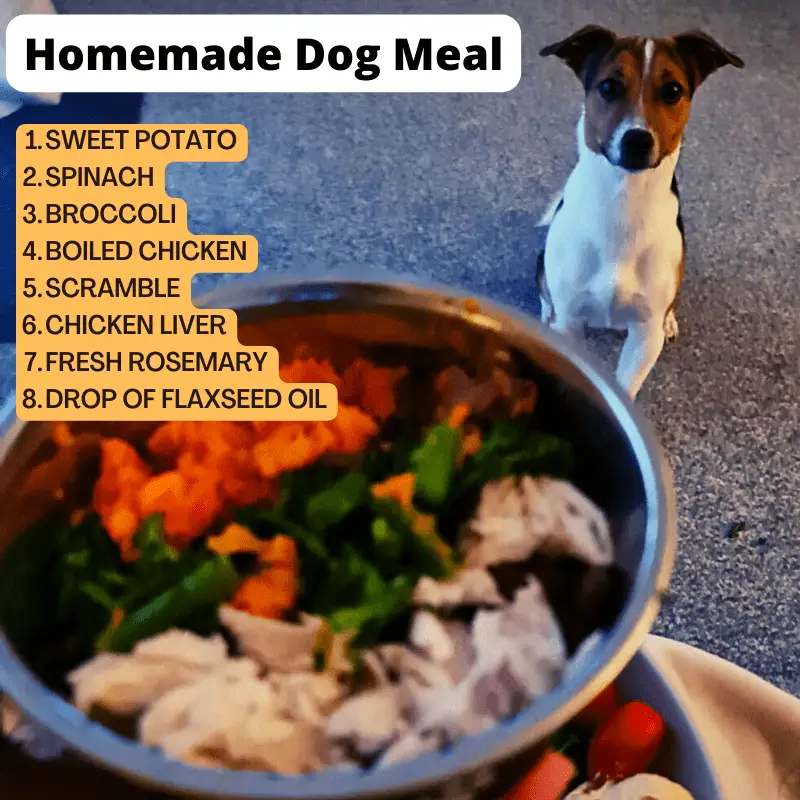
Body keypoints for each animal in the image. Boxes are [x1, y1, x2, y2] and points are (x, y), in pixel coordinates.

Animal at [536, 27, 748, 396]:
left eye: (673, 90)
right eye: (609, 86)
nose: (637, 140)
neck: (625, 202)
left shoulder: (645, 335)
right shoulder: (571, 321)